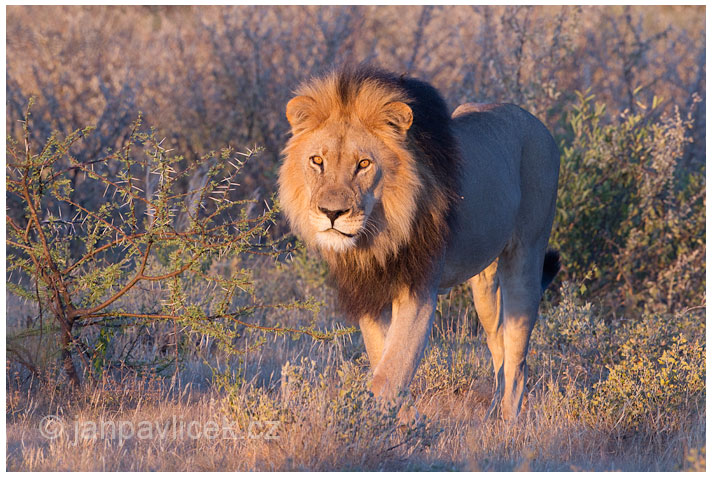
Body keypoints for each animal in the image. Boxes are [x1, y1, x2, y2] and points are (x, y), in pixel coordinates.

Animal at [278, 65, 560, 420]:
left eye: (364, 164)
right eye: (317, 161)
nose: (332, 213)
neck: (376, 236)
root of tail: (537, 123)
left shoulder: (419, 290)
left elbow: (390, 371)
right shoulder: (369, 294)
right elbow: (382, 359)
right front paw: (401, 418)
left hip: (526, 257)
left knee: (517, 360)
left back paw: (508, 425)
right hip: (483, 283)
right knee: (499, 346)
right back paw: (490, 417)